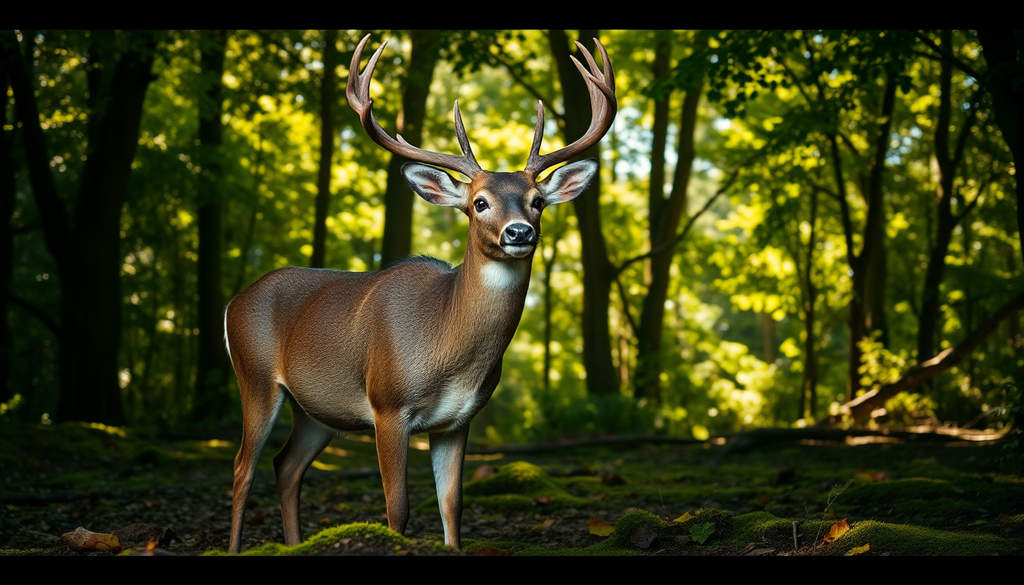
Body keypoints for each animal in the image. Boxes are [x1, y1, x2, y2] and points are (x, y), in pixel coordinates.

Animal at [225, 33, 615, 554]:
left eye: (538, 201)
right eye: (479, 203)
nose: (519, 232)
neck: (446, 349)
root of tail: (235, 300)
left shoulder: (459, 420)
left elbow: (452, 506)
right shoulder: (388, 404)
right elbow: (398, 510)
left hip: (317, 408)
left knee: (285, 466)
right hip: (255, 377)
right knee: (242, 467)